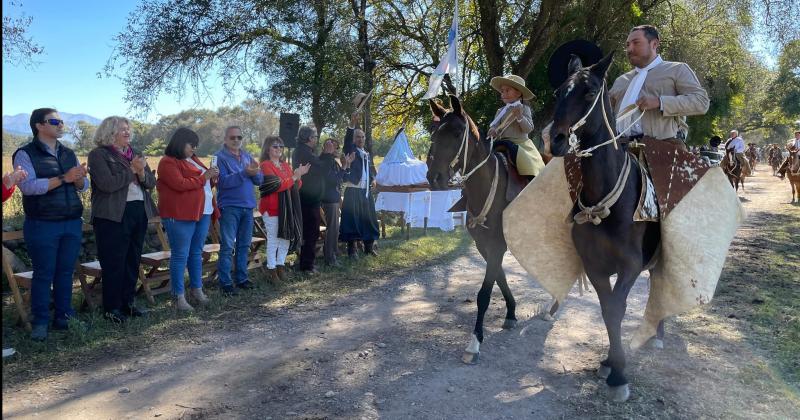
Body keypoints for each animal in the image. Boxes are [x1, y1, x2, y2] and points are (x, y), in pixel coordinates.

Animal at [428, 95, 516, 364]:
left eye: (458, 133)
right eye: (434, 132)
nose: (434, 177)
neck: (487, 188)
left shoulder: (497, 246)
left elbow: (484, 294)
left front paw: (474, 342)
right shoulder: (484, 246)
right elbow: (500, 277)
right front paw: (511, 313)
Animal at [552, 51, 664, 400]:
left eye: (589, 92)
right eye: (558, 91)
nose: (555, 139)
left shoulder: (630, 265)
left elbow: (617, 309)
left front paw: (619, 374)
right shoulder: (594, 267)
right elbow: (606, 310)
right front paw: (608, 363)